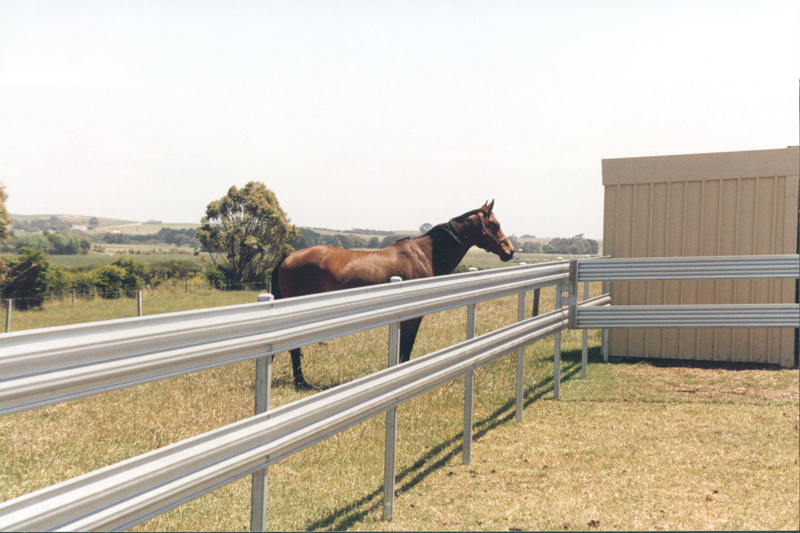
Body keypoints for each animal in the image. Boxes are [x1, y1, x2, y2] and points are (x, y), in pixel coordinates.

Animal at [270, 200, 515, 387]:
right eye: (495, 224)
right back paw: (301, 382)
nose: (510, 251)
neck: (425, 255)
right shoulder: (413, 316)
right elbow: (406, 347)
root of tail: (287, 257)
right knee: (294, 349)